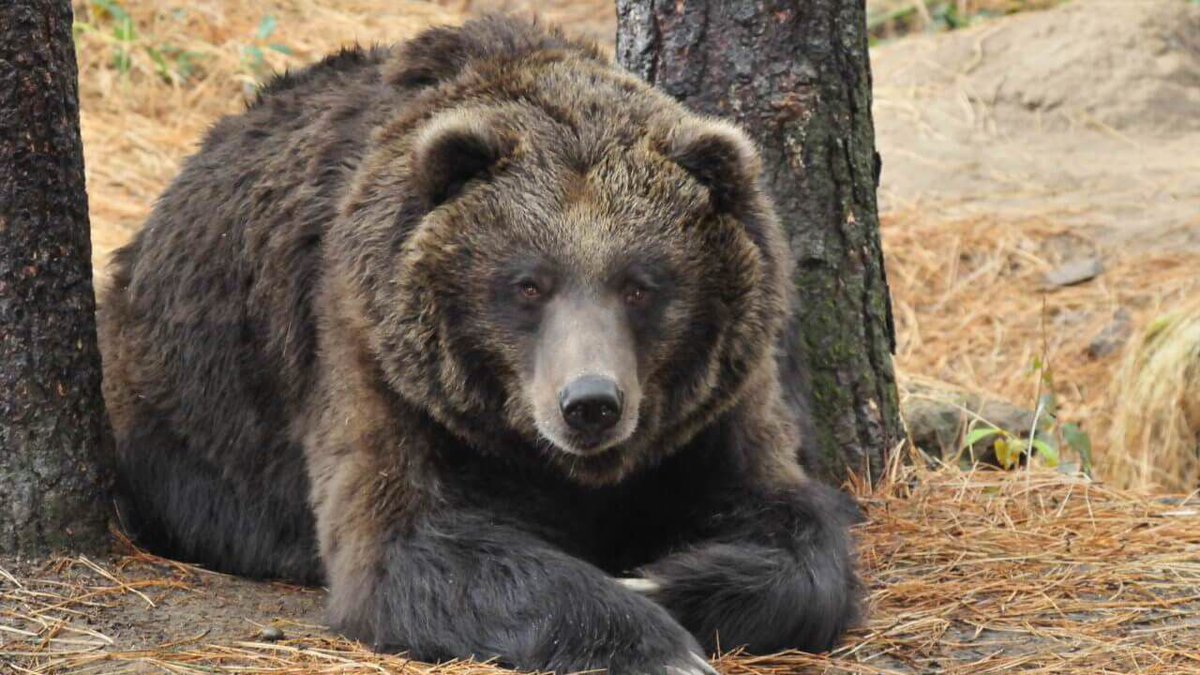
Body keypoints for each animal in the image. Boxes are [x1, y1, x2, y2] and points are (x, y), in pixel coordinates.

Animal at [99, 16, 861, 675]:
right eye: (528, 283)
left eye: (641, 284)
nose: (590, 403)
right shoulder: (378, 362)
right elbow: (410, 540)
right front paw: (654, 641)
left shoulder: (711, 413)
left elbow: (792, 524)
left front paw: (663, 580)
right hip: (185, 413)